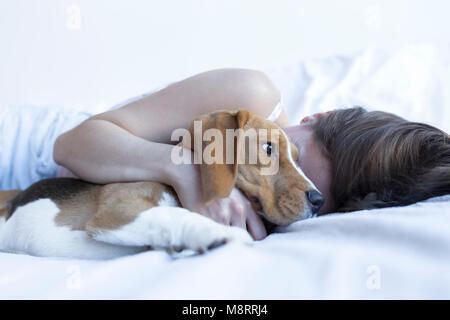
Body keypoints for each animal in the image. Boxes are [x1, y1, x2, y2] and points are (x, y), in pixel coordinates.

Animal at [0, 110, 324, 260]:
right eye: (268, 148)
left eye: (299, 159)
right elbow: (177, 215)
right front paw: (220, 234)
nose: (318, 200)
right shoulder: (119, 211)